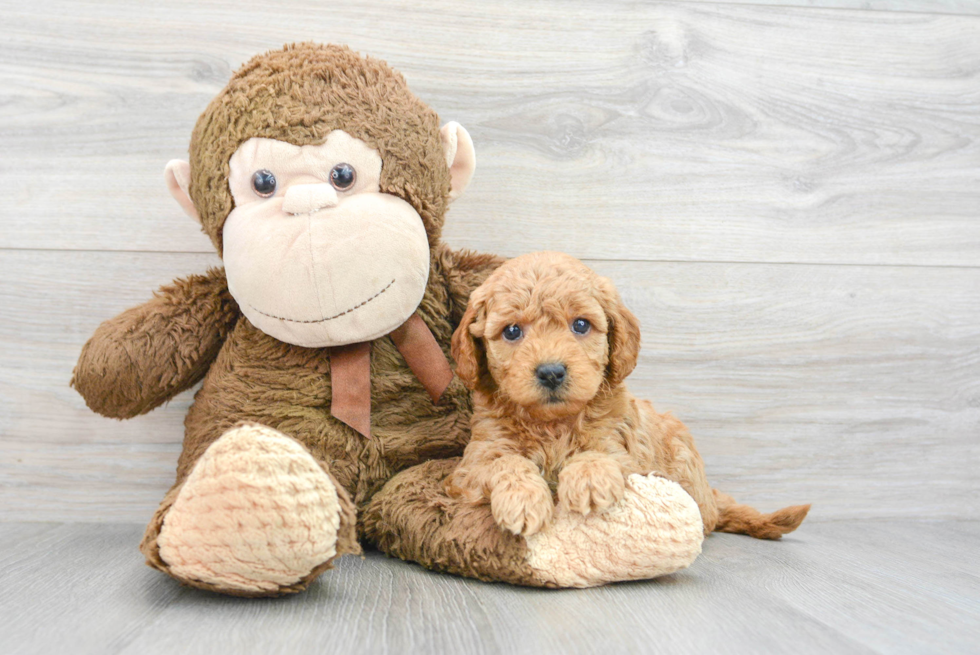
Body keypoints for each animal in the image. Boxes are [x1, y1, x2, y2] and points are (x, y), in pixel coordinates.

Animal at [448, 251, 808, 540]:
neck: (552, 425)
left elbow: (597, 455)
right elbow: (505, 462)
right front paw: (522, 500)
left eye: (581, 325)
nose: (551, 372)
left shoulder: (625, 453)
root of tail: (711, 496)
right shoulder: (474, 462)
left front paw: (589, 480)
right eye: (512, 331)